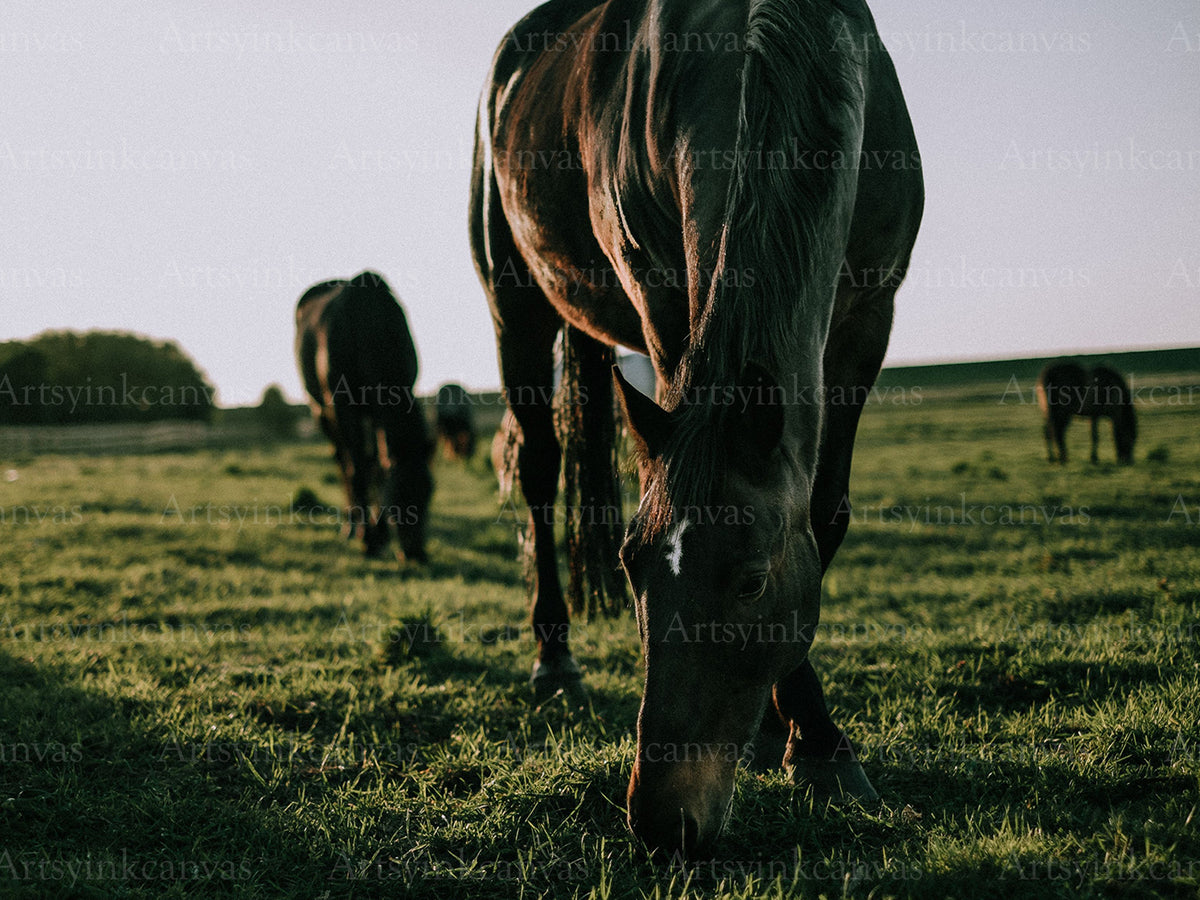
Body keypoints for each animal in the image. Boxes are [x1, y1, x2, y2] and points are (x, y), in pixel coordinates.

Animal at [294, 271, 433, 562]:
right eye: (396, 497)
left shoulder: (379, 411)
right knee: (343, 461)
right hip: (322, 411)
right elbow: (358, 469)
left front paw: (379, 535)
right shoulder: (343, 407)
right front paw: (368, 539)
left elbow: (378, 468)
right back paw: (351, 527)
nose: (415, 553)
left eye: (429, 492)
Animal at [471, 0, 923, 858]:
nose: (662, 821)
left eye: (749, 582)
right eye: (632, 566)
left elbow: (824, 514)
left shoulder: (866, 316)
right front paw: (812, 742)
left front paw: (806, 742)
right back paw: (554, 662)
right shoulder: (664, 298)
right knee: (540, 469)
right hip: (516, 302)